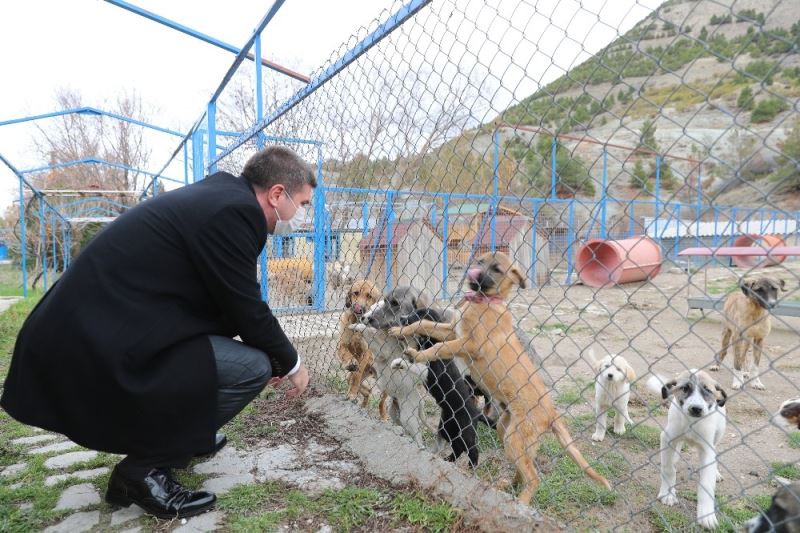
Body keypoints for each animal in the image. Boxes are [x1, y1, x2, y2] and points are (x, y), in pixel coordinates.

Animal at [336, 278, 390, 416]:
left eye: (369, 296)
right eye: (356, 293)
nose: (358, 308)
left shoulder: (366, 353)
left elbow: (356, 375)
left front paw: (352, 394)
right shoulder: (342, 345)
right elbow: (347, 355)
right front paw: (350, 362)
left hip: (385, 385)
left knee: (381, 403)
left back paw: (383, 416)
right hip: (351, 377)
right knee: (367, 391)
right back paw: (362, 405)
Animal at [400, 308, 494, 466]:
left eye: (417, 315)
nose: (401, 317)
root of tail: (476, 413)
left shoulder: (431, 373)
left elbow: (416, 366)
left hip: (465, 432)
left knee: (472, 450)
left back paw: (471, 466)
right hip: (448, 428)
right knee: (457, 447)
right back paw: (448, 459)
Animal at [652, 370, 728, 528]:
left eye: (708, 391)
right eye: (685, 388)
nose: (696, 409)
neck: (691, 423)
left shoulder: (707, 450)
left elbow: (706, 484)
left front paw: (707, 515)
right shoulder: (667, 438)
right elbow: (668, 469)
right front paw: (668, 494)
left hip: (719, 433)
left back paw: (717, 473)